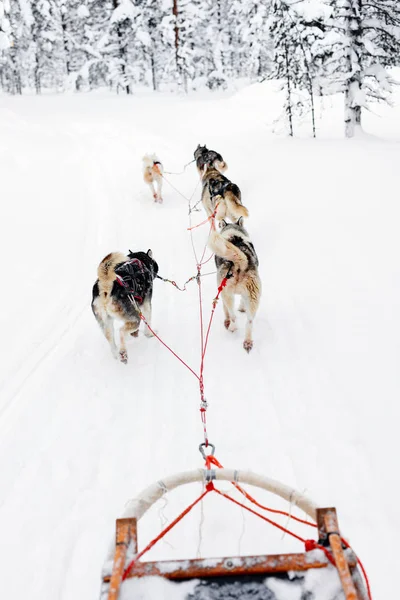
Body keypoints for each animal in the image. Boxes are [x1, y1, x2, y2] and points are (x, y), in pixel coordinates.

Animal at [208, 219, 260, 352]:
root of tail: (238, 263)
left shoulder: (222, 292)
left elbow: (225, 310)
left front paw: (226, 321)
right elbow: (241, 301)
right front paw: (242, 308)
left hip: (226, 293)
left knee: (232, 315)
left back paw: (231, 326)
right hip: (253, 296)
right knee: (249, 322)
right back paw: (247, 341)